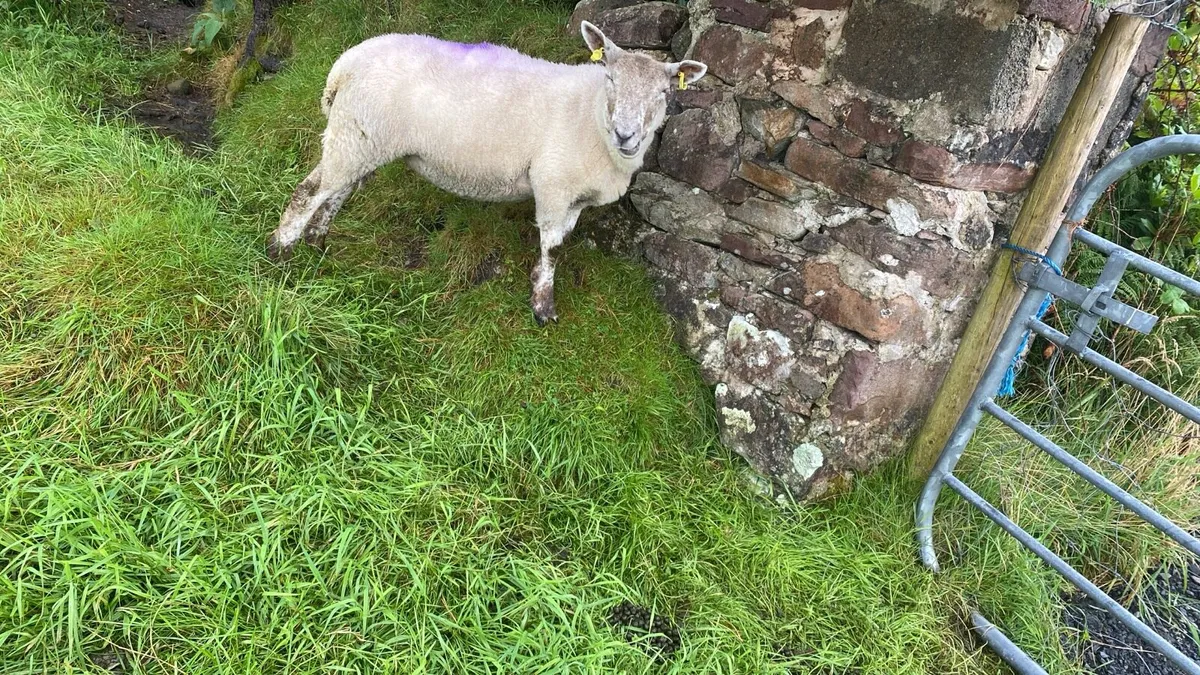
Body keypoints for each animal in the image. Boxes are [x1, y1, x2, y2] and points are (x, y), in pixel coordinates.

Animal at [266, 21, 707, 325]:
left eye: (664, 93)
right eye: (611, 78)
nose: (626, 135)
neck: (592, 114)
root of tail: (345, 64)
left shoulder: (574, 198)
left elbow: (560, 242)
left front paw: (539, 286)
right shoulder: (553, 185)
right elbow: (553, 247)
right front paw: (543, 307)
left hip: (363, 140)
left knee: (336, 191)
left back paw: (317, 242)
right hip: (354, 134)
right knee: (309, 191)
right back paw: (279, 255)